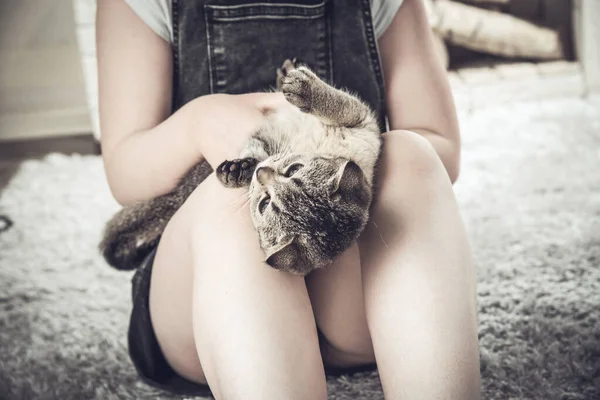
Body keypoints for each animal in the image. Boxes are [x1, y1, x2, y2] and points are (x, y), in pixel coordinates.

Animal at [98, 60, 380, 276]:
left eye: (265, 205)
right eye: (294, 169)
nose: (263, 173)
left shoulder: (362, 124)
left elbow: (337, 106)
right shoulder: (355, 121)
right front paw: (237, 170)